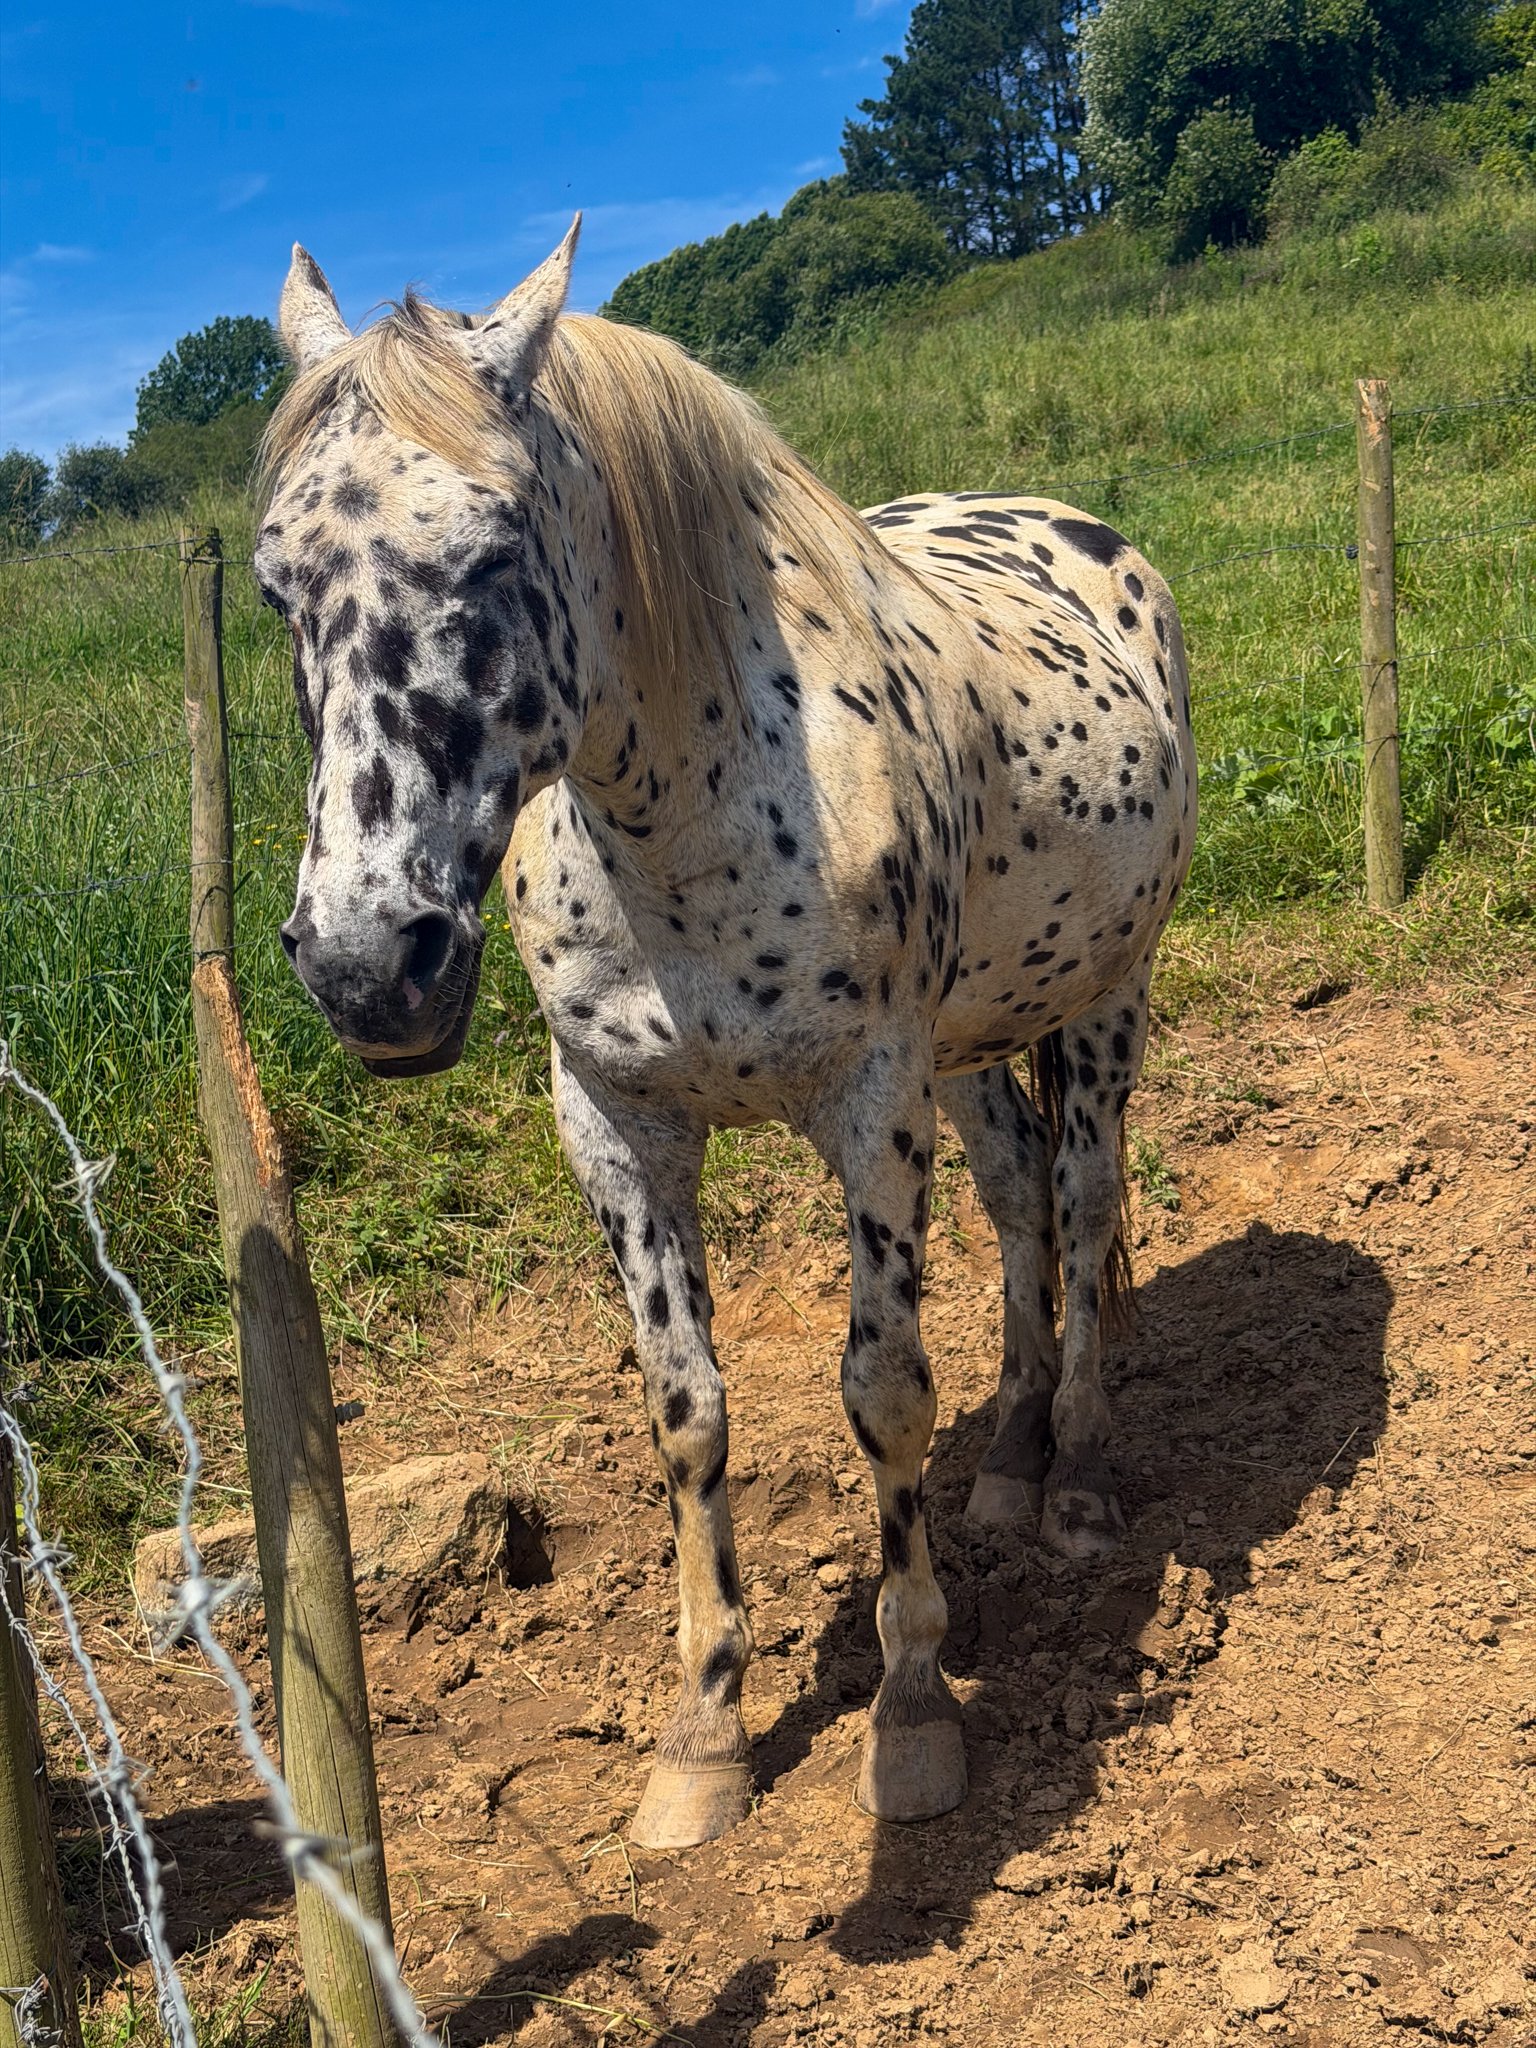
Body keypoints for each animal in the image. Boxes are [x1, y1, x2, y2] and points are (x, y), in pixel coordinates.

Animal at [258, 219, 1196, 1850]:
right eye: (273, 592)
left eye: (496, 550)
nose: (371, 965)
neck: (685, 823)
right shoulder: (618, 1123)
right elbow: (685, 1409)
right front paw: (702, 1733)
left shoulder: (873, 1100)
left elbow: (884, 1392)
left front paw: (912, 1713)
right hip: (974, 1044)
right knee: (1023, 1198)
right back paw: (1011, 1464)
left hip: (1099, 999)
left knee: (1084, 1206)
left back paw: (1076, 1477)